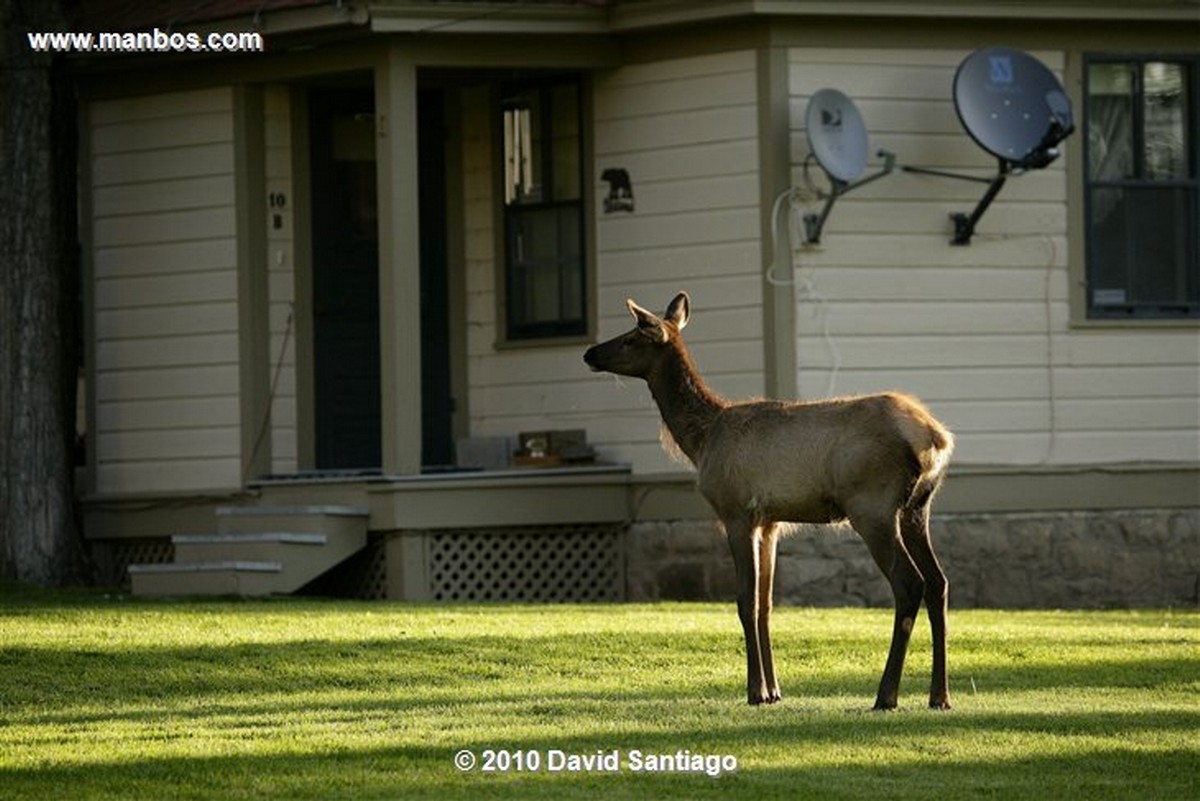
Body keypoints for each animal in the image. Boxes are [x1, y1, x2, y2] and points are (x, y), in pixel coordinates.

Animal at [583, 292, 955, 705]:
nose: (589, 353)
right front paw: (775, 689)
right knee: (938, 583)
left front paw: (755, 691)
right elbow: (766, 603)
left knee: (909, 583)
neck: (701, 440)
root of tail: (936, 438)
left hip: (872, 505)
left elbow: (745, 601)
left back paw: (886, 695)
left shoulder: (735, 512)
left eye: (631, 337)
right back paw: (939, 696)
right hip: (916, 508)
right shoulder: (770, 522)